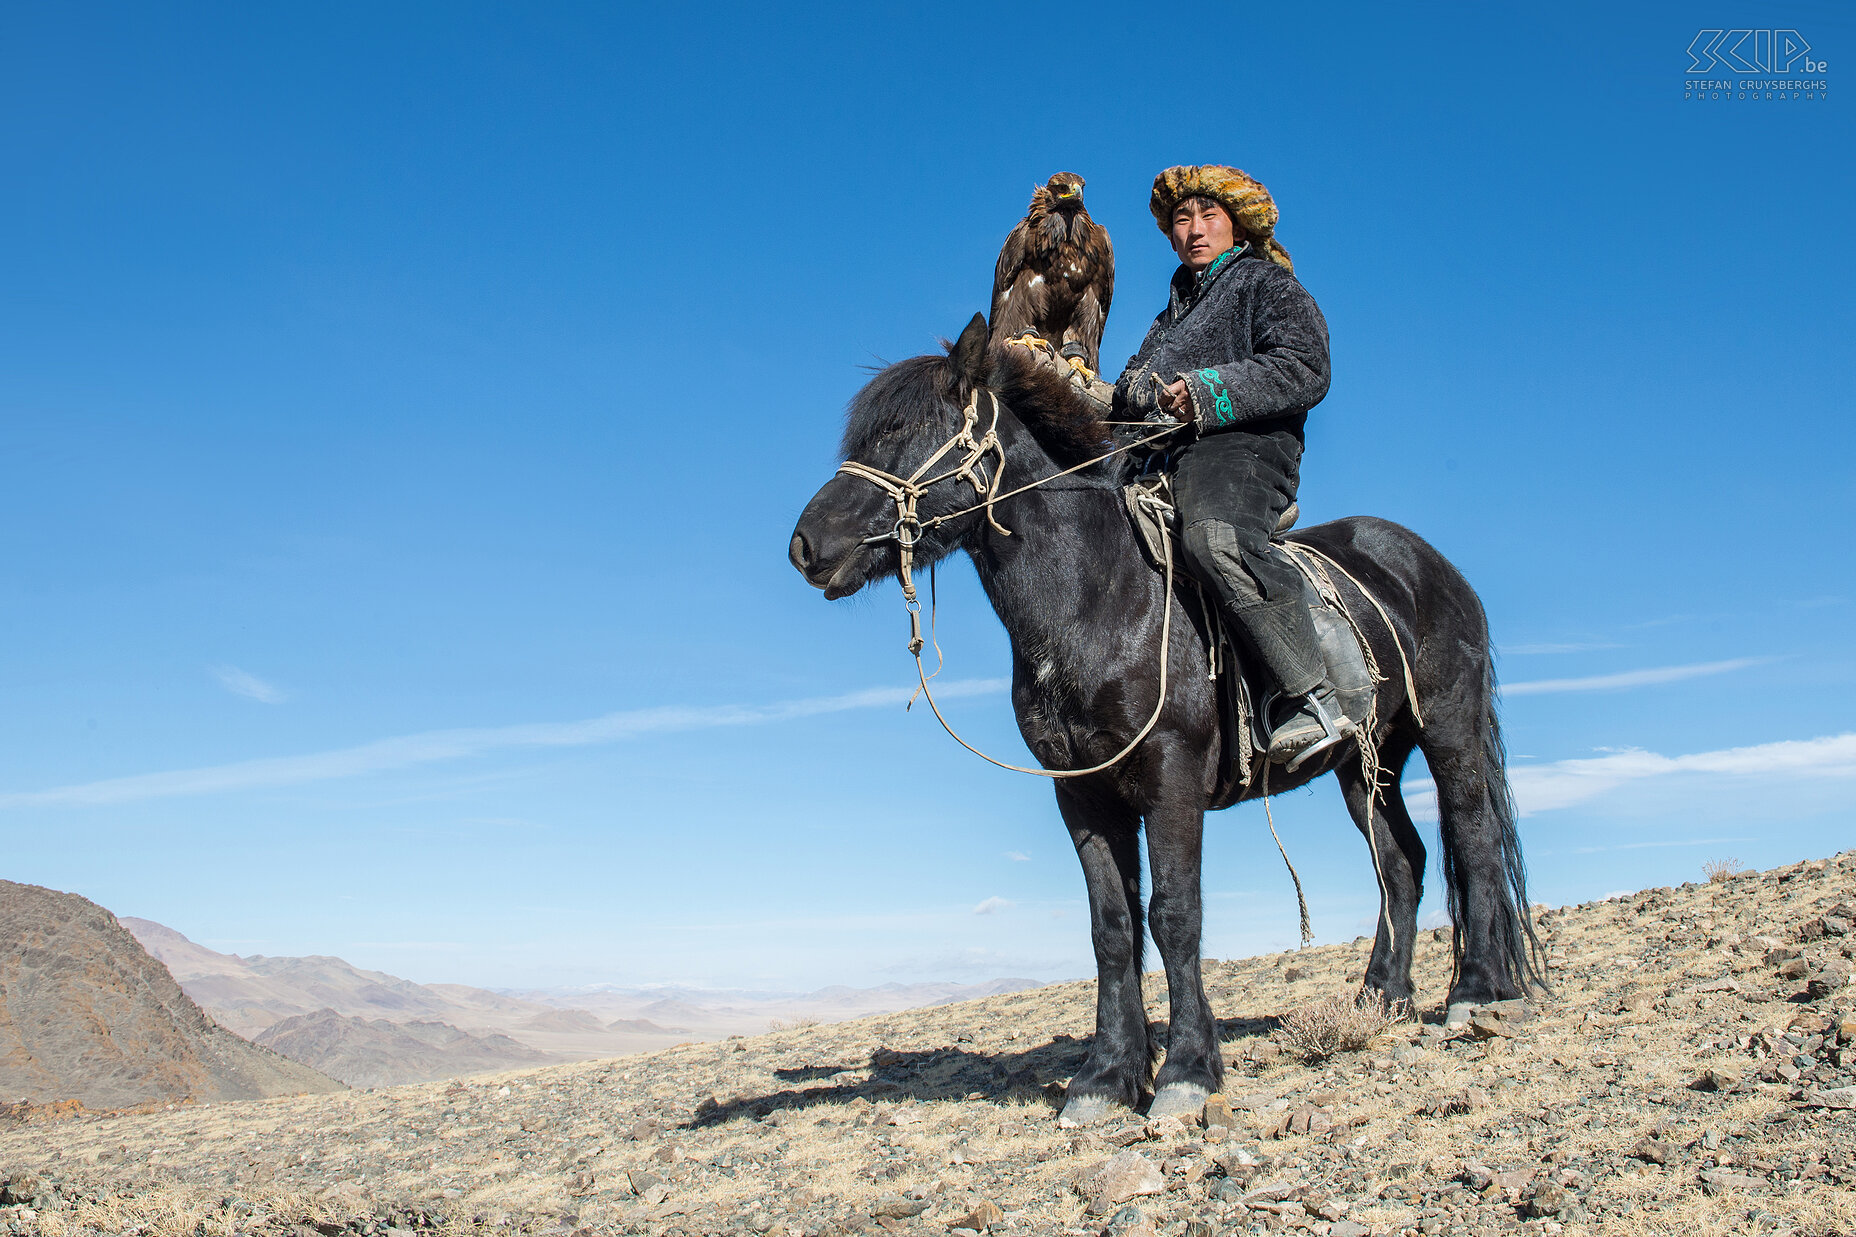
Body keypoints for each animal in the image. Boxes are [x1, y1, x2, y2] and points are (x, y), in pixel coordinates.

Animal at [790, 313, 1544, 1121]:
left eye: (906, 431)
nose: (806, 546)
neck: (1102, 597)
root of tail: (1430, 565)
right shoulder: (1083, 793)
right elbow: (1112, 927)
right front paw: (1106, 1076)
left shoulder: (1171, 779)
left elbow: (1175, 914)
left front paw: (1185, 1069)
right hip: (1366, 764)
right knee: (1402, 863)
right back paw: (1381, 999)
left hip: (1449, 731)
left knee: (1473, 837)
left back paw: (1476, 993)